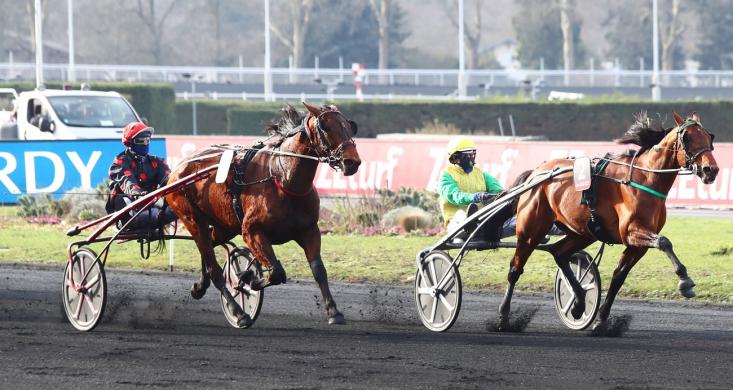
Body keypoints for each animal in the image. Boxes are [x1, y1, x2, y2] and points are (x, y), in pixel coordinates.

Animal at [166, 102, 360, 328]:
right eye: (326, 127)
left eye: (349, 126)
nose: (352, 162)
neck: (283, 178)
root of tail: (178, 169)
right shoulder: (252, 231)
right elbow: (276, 272)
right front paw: (248, 278)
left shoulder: (309, 230)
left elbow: (319, 270)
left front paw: (333, 311)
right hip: (191, 218)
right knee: (213, 266)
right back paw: (238, 312)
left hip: (223, 225)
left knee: (207, 248)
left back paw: (200, 286)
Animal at [498, 111, 716, 334]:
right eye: (687, 138)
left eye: (709, 137)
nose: (711, 170)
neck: (644, 178)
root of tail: (535, 173)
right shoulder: (632, 231)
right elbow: (664, 242)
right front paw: (685, 281)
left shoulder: (637, 244)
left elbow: (619, 277)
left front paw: (601, 320)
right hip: (531, 230)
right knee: (515, 269)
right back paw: (504, 317)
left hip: (583, 232)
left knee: (560, 253)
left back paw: (579, 302)